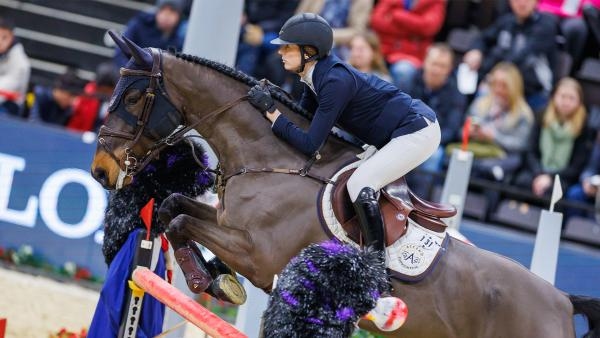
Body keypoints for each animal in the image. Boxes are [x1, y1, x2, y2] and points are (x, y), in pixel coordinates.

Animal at [90, 35, 600, 336]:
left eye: (133, 97)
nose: (100, 172)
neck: (272, 160)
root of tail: (561, 301)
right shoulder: (224, 221)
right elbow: (173, 206)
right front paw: (213, 278)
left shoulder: (258, 253)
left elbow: (179, 219)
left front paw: (214, 282)